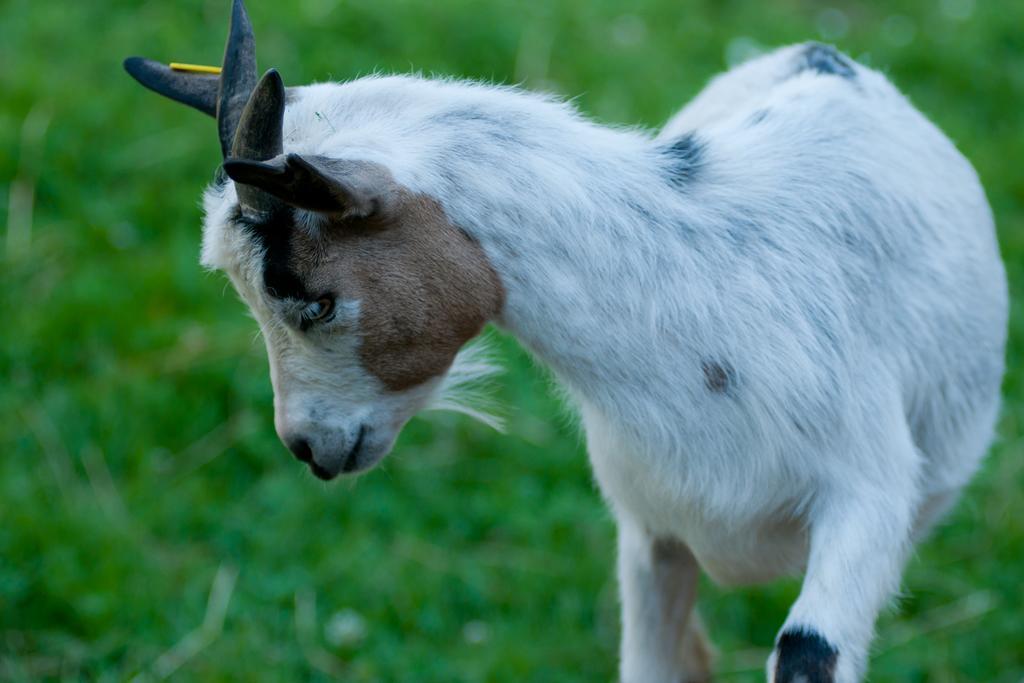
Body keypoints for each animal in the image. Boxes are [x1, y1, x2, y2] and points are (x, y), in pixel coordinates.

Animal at [121, 2, 1007, 679]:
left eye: (312, 296)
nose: (306, 444)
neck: (697, 292)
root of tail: (828, 57)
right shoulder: (650, 532)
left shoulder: (867, 497)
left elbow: (805, 652)